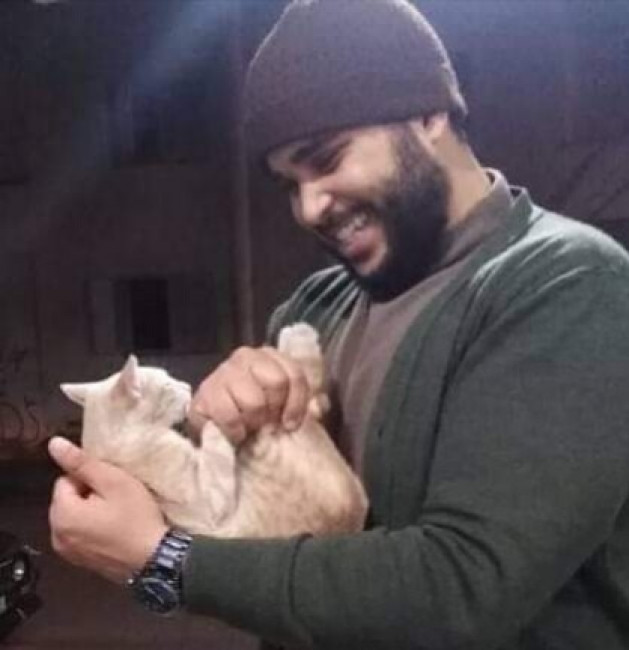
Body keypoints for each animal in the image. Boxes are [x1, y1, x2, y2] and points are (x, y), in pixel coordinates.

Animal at [60, 323, 368, 538]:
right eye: (168, 384)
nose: (187, 385)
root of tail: (350, 519)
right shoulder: (212, 503)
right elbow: (215, 446)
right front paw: (211, 421)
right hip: (270, 439)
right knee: (312, 396)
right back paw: (299, 335)